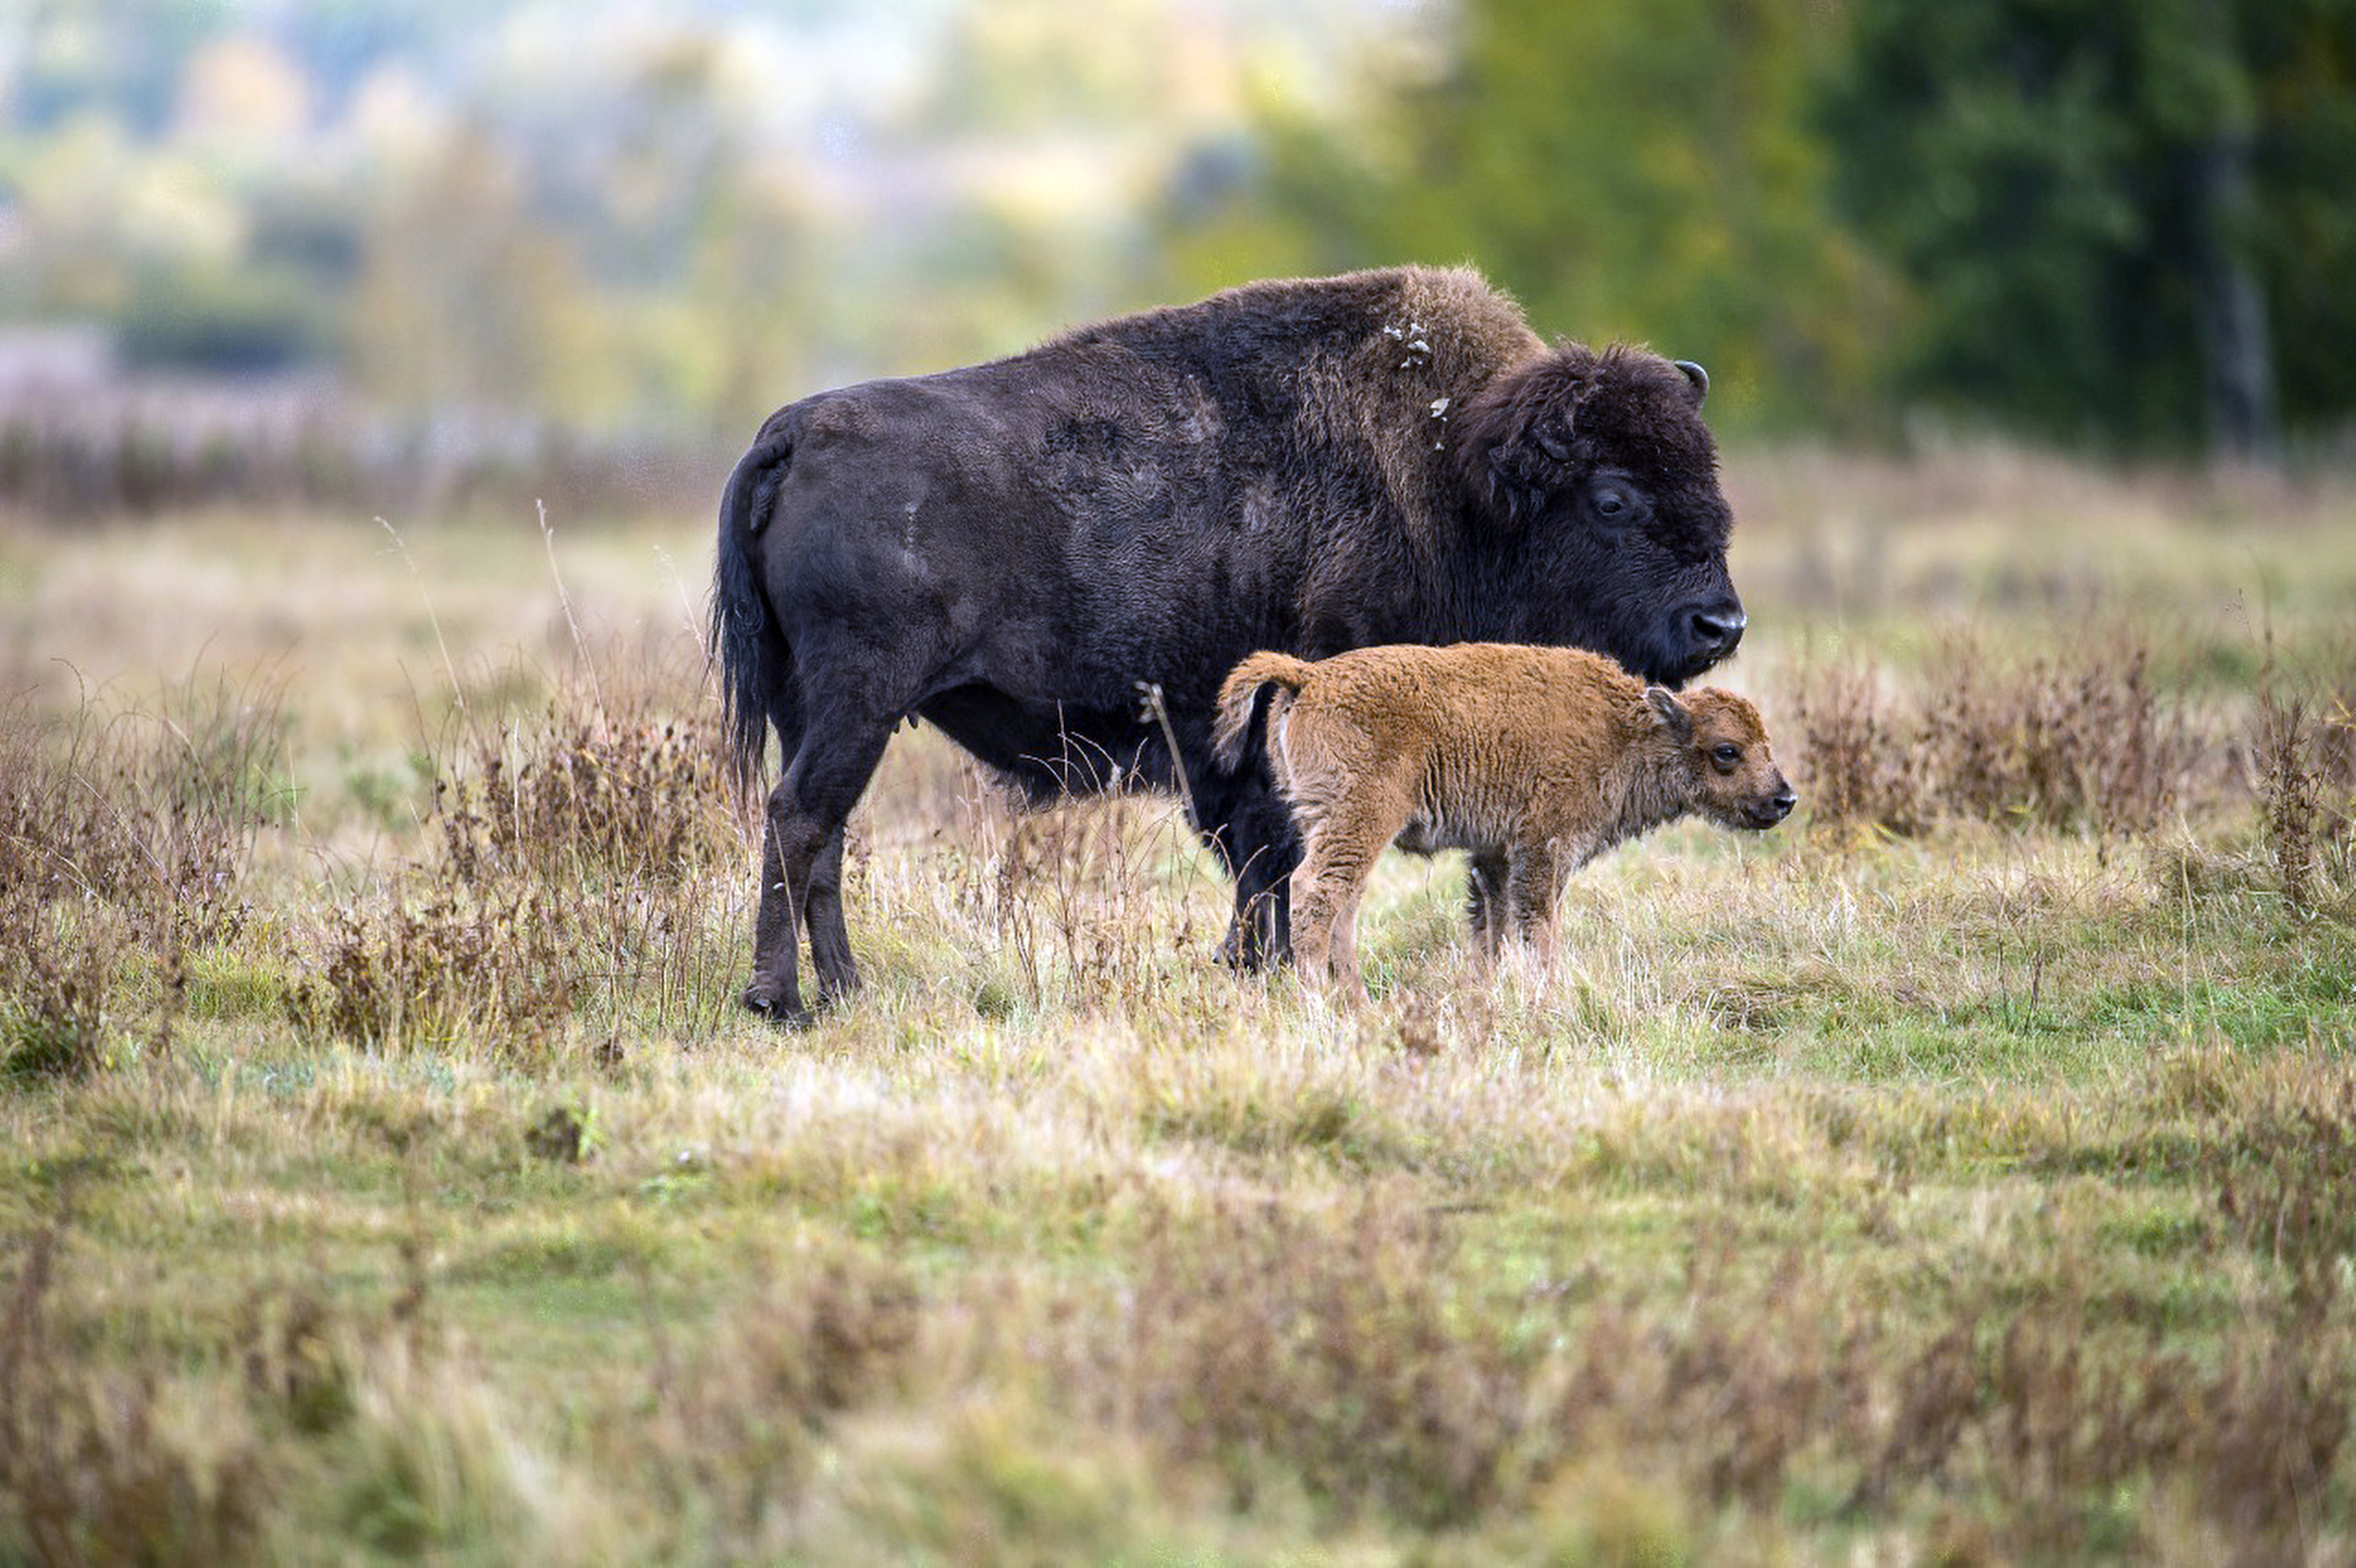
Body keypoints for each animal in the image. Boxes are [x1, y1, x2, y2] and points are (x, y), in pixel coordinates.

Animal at [712, 265, 1745, 1023]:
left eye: (1708, 477)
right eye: (1612, 497)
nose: (1721, 623)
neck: (1454, 475)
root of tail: (791, 433)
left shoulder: (1234, 754)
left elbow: (1258, 862)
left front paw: (1255, 965)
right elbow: (1272, 856)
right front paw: (1270, 969)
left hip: (822, 706)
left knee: (821, 827)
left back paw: (845, 991)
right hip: (859, 699)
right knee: (801, 816)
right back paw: (782, 999)